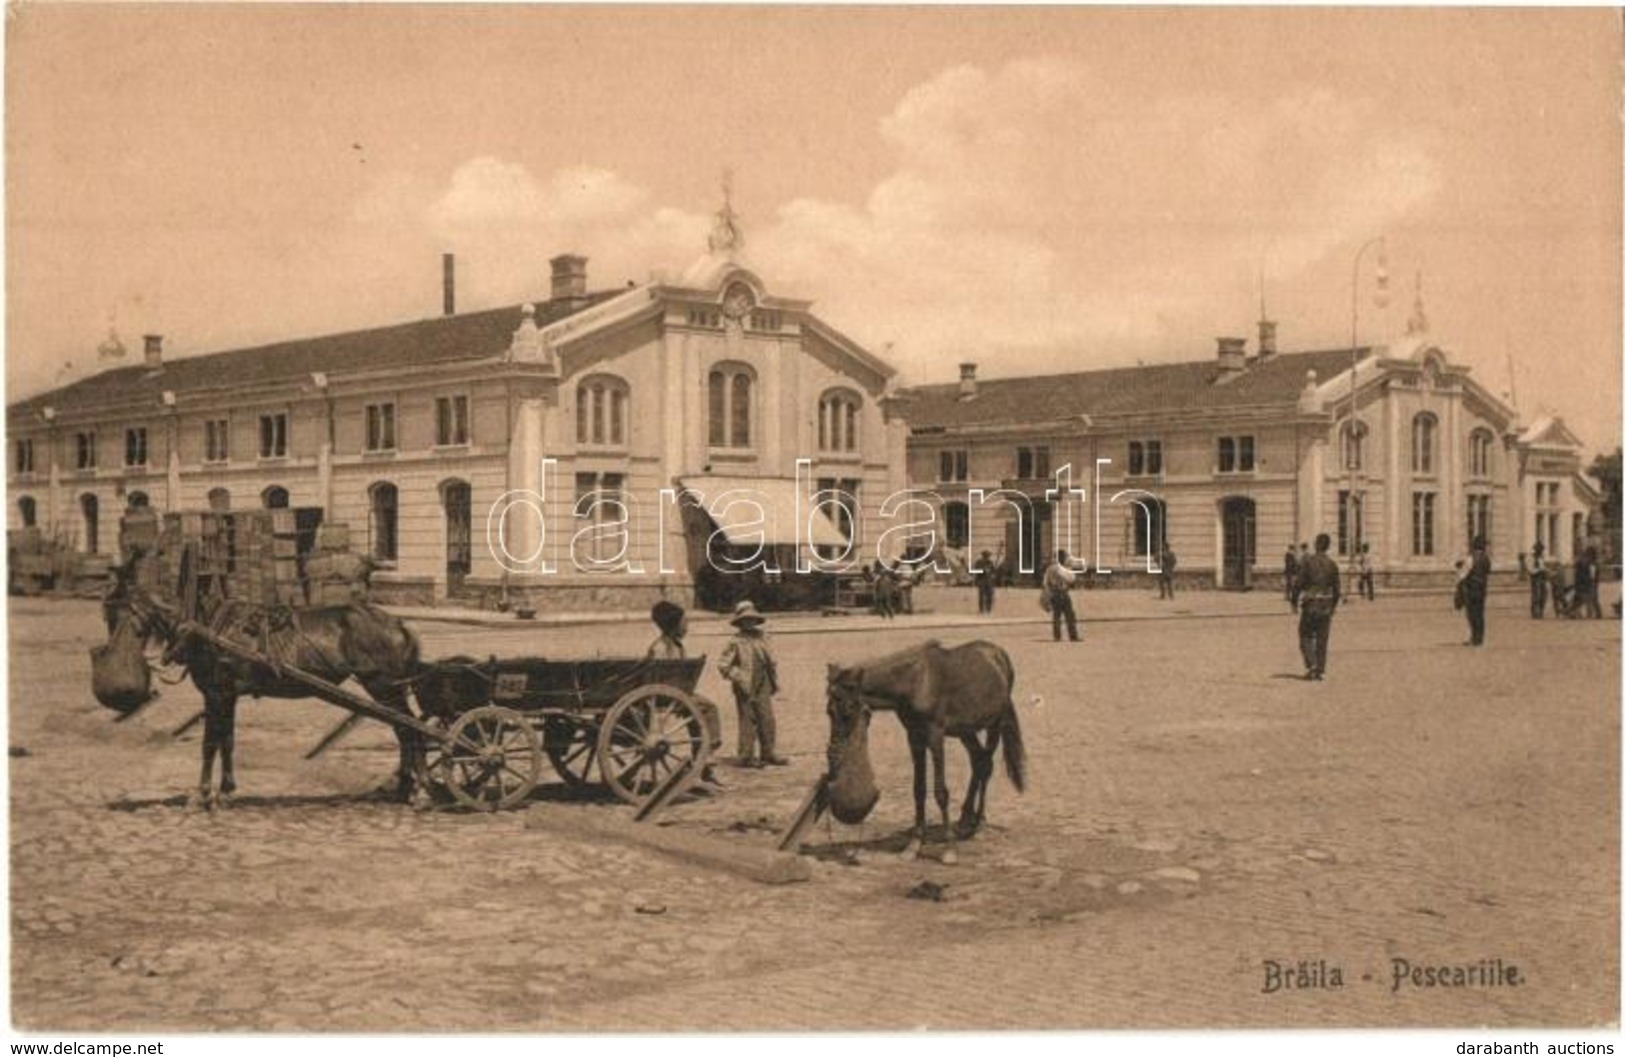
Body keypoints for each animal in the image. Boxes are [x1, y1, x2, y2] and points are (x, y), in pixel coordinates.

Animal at [109, 569, 425, 806]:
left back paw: (418, 788)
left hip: (384, 687)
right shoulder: (228, 696)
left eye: (128, 609)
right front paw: (226, 790)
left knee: (409, 729)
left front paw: (202, 794)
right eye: (116, 609)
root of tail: (398, 623)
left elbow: (210, 743)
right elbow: (227, 741)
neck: (206, 629)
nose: (116, 645)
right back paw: (405, 787)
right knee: (405, 730)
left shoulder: (217, 694)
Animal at [832, 637, 1020, 858]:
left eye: (847, 711)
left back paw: (980, 824)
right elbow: (918, 789)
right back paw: (965, 820)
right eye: (828, 711)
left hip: (995, 724)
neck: (916, 682)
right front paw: (914, 844)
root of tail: (998, 653)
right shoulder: (914, 737)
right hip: (966, 731)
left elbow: (940, 792)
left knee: (986, 765)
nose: (834, 751)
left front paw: (949, 848)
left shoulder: (935, 737)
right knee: (978, 763)